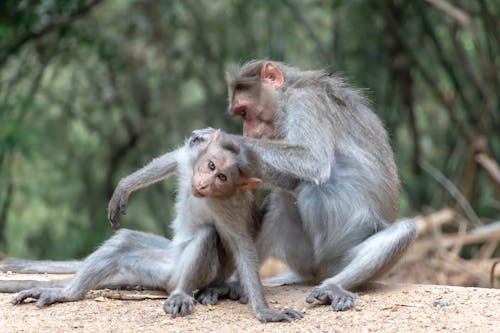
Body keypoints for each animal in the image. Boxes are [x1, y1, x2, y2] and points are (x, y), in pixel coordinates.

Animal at [4, 129, 300, 322]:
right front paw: (125, 187)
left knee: (206, 235)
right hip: (157, 266)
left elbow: (241, 246)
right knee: (124, 242)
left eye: (222, 177)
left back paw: (181, 293)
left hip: (185, 273)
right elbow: (173, 159)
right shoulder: (193, 162)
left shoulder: (229, 207)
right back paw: (67, 293)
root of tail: (169, 275)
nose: (203, 183)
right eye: (210, 165)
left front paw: (264, 311)